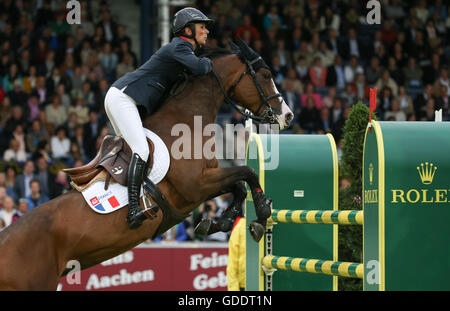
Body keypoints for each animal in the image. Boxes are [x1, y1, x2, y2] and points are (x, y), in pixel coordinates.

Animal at [0, 38, 294, 290]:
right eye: (266, 75)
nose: (288, 116)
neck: (186, 120)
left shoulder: (205, 180)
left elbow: (239, 186)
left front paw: (217, 223)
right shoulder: (195, 186)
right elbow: (247, 172)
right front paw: (262, 214)